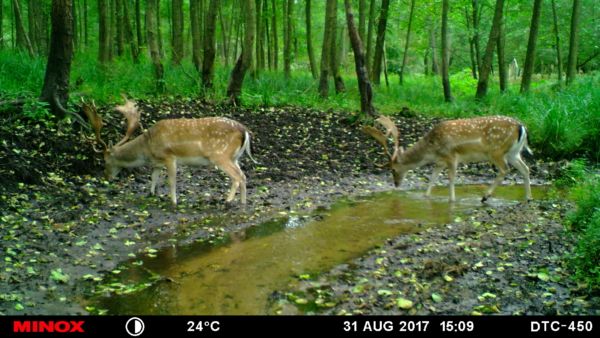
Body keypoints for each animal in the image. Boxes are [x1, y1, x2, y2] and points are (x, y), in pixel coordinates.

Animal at [82, 96, 255, 205]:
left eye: (105, 161)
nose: (106, 177)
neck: (147, 148)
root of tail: (244, 131)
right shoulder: (157, 162)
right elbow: (153, 177)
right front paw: (151, 194)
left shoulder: (169, 156)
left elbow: (171, 180)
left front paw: (173, 201)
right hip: (235, 157)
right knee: (244, 175)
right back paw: (242, 202)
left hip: (220, 155)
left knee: (237, 176)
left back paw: (228, 200)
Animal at [364, 115, 532, 202]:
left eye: (393, 169)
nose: (396, 184)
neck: (432, 149)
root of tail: (521, 127)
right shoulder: (440, 161)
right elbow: (432, 178)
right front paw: (425, 196)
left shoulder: (451, 156)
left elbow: (451, 179)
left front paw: (452, 200)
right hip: (513, 153)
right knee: (525, 168)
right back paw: (528, 198)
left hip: (496, 151)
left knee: (505, 170)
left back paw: (485, 196)